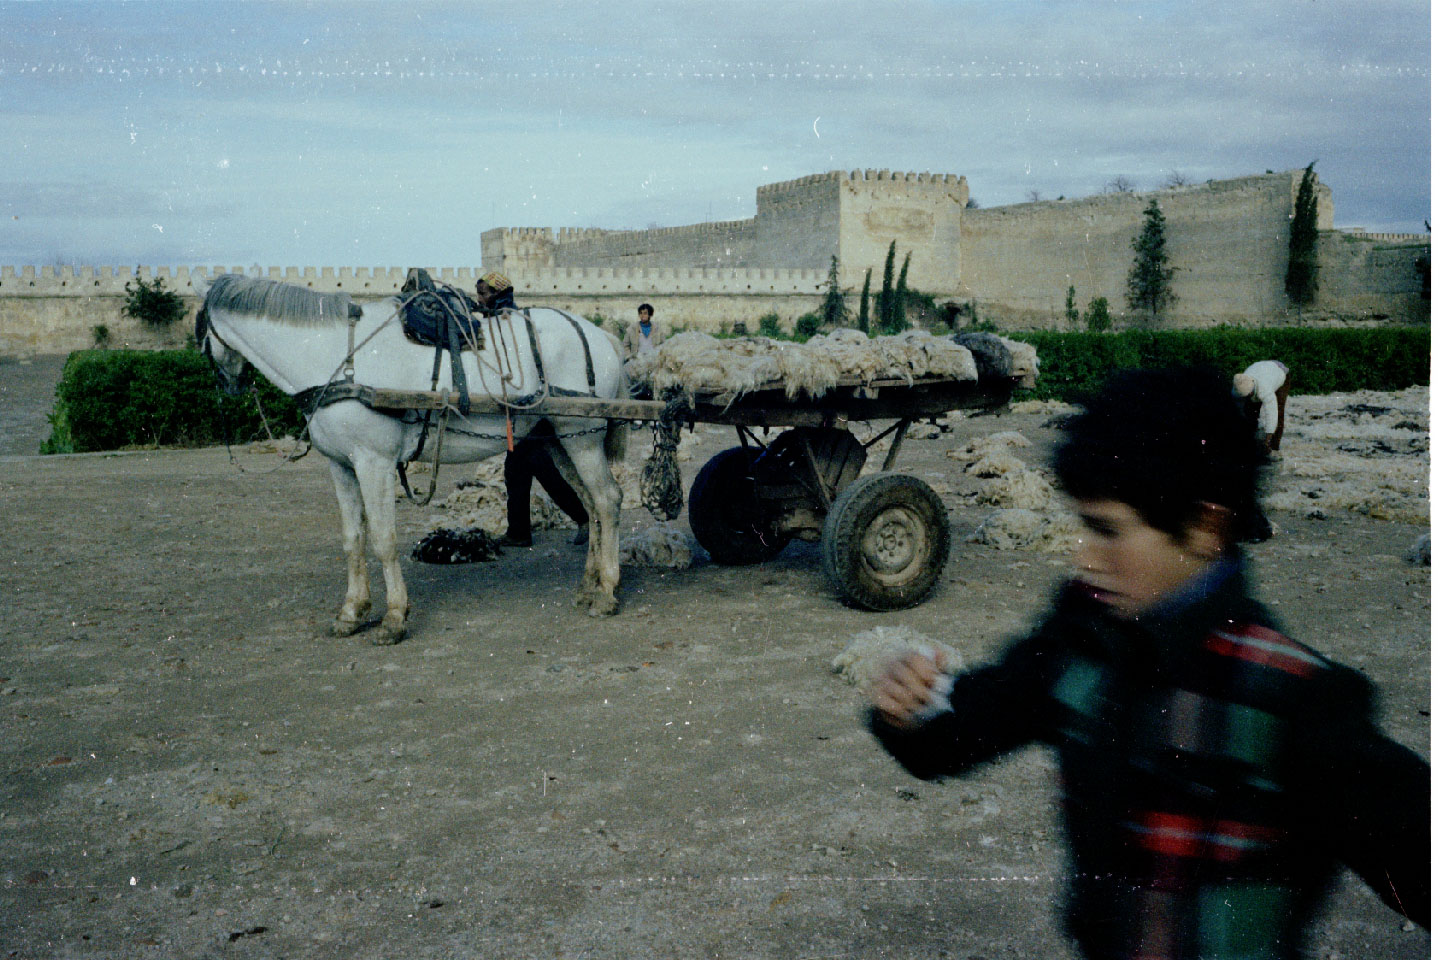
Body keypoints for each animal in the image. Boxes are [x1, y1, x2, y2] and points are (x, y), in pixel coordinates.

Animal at [188, 272, 627, 644]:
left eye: (199, 329)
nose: (230, 384)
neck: (338, 357)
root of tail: (602, 334)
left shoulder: (374, 463)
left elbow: (383, 540)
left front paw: (394, 617)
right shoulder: (341, 467)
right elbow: (352, 539)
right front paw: (352, 612)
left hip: (581, 439)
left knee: (608, 500)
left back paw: (607, 591)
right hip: (560, 439)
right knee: (591, 505)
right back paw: (588, 586)